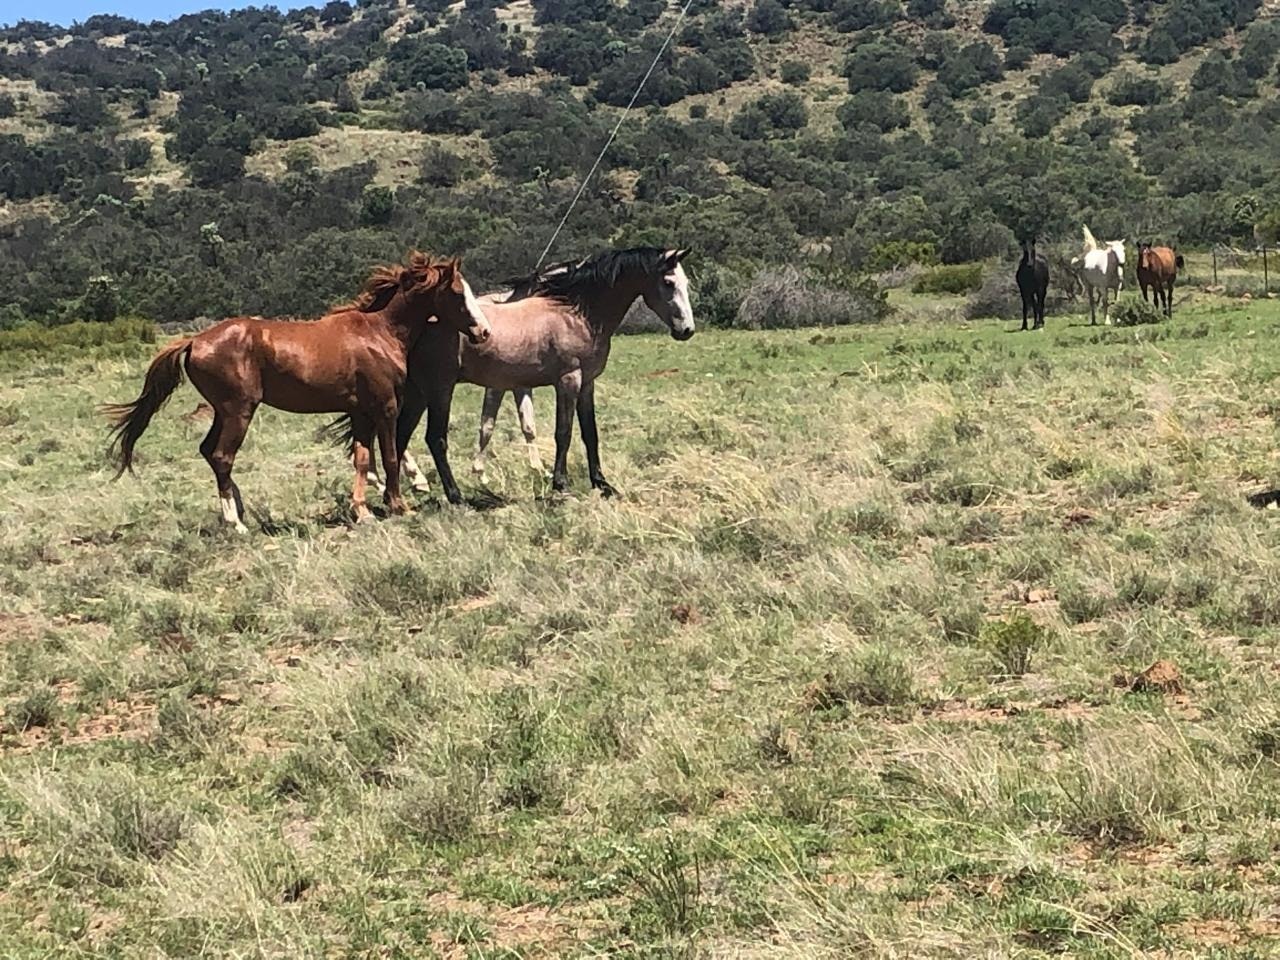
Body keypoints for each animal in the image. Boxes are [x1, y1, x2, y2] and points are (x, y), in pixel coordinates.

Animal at [103, 253, 491, 531]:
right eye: (458, 293)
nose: (484, 332)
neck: (379, 332)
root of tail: (195, 340)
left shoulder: (361, 412)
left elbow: (362, 459)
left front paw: (362, 511)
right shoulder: (386, 407)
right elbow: (391, 456)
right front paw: (399, 506)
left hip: (223, 413)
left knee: (209, 452)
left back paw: (240, 512)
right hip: (238, 411)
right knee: (222, 456)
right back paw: (235, 523)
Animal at [326, 246, 695, 502]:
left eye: (685, 283)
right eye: (667, 282)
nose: (686, 330)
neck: (575, 313)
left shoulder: (587, 383)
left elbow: (590, 434)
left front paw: (602, 484)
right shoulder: (568, 380)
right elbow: (563, 433)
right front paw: (559, 484)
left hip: (417, 393)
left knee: (399, 437)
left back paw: (405, 492)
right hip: (439, 390)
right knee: (434, 439)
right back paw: (454, 496)